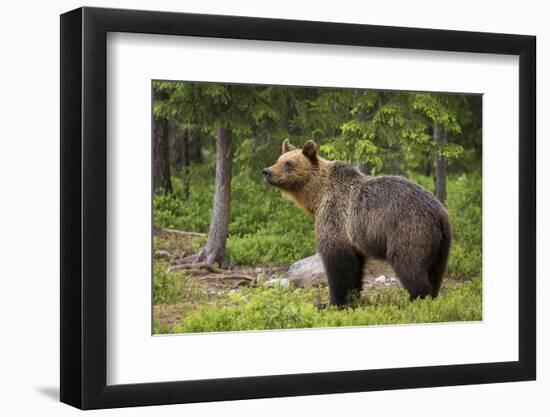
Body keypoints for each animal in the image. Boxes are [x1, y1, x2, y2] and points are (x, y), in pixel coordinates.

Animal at [264, 138, 452, 304]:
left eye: (288, 163)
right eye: (278, 159)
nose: (266, 171)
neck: (316, 197)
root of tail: (439, 213)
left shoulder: (335, 217)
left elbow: (338, 263)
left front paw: (332, 302)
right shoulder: (354, 237)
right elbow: (355, 267)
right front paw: (353, 298)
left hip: (409, 229)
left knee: (409, 264)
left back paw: (416, 298)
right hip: (441, 245)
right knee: (435, 272)